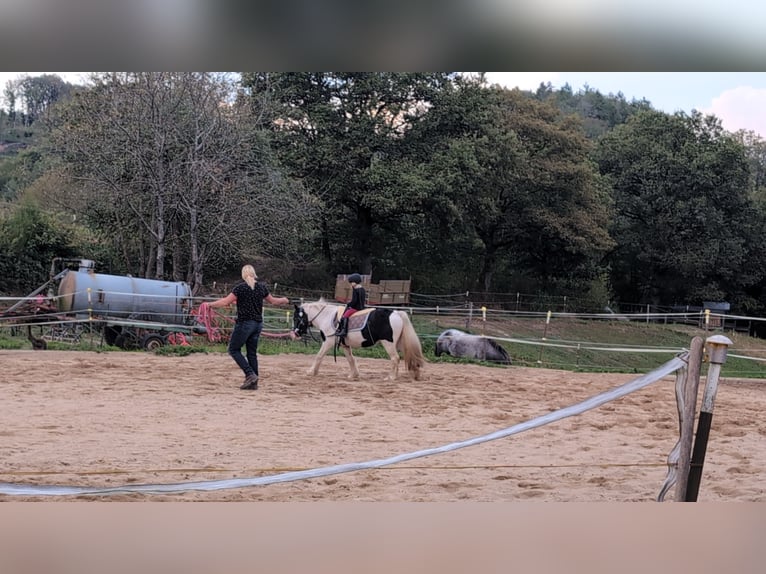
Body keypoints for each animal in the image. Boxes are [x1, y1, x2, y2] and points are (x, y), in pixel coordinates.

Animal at [292, 300, 426, 380]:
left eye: (296, 318)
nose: (295, 333)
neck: (327, 316)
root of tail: (396, 313)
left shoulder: (328, 342)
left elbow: (319, 356)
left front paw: (311, 372)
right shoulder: (344, 345)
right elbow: (351, 359)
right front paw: (353, 375)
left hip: (388, 343)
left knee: (395, 358)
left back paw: (391, 377)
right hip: (400, 343)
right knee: (412, 357)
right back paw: (415, 374)